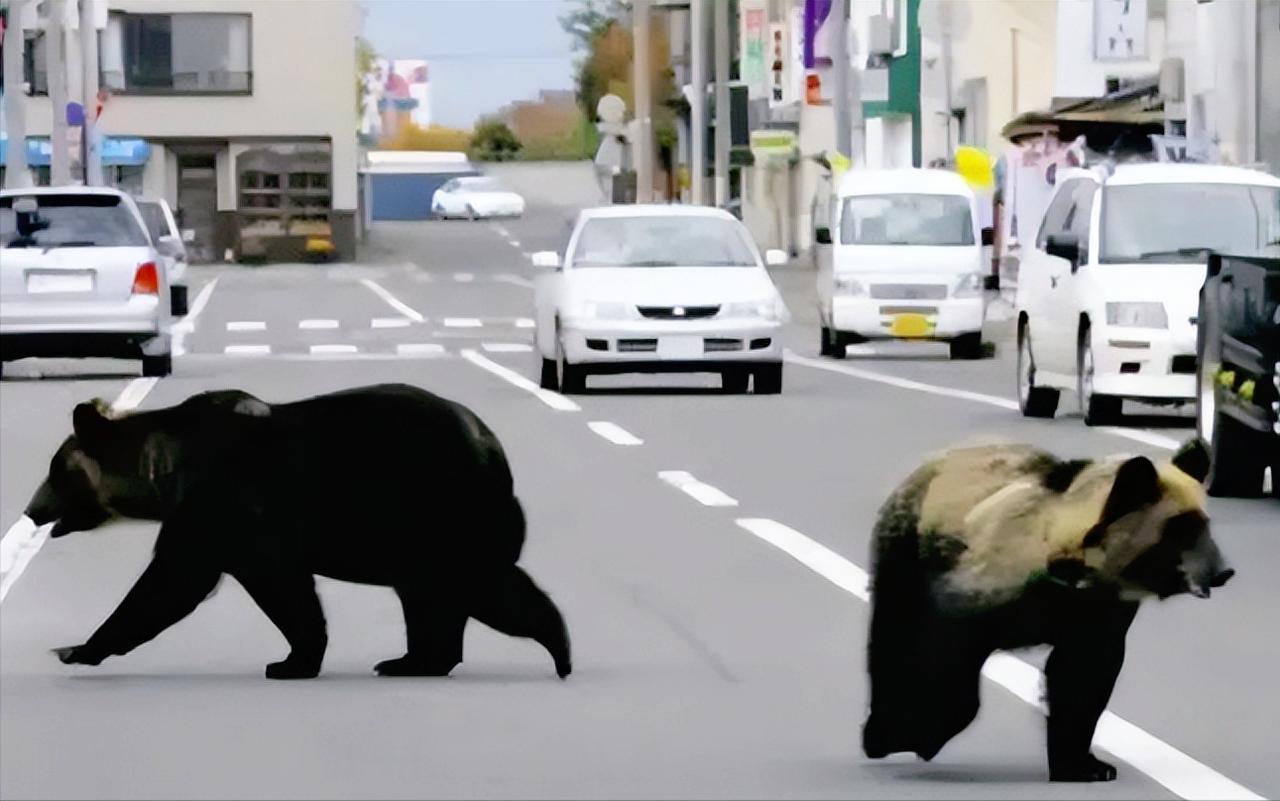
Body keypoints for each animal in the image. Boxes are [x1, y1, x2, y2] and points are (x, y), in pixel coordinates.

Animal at [24, 383, 572, 681]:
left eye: (55, 471)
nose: (31, 511)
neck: (165, 473)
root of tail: (493, 448)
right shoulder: (234, 525)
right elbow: (280, 593)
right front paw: (295, 657)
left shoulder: (225, 506)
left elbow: (177, 581)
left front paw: (76, 647)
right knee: (432, 598)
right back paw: (412, 659)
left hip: (439, 511)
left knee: (481, 586)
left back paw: (556, 647)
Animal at [861, 438, 1234, 782]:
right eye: (1181, 527)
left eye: (1206, 523)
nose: (1222, 572)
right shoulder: (993, 576)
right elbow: (942, 650)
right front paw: (916, 730)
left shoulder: (1097, 608)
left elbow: (1084, 675)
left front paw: (1085, 765)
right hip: (906, 545)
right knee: (892, 627)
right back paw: (878, 732)